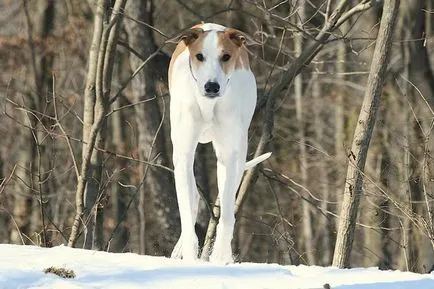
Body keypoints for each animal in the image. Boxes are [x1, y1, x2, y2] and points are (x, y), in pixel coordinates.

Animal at [168, 23, 270, 264]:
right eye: (199, 56)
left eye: (226, 56)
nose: (211, 86)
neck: (208, 105)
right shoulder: (184, 152)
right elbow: (186, 211)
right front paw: (190, 254)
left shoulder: (229, 155)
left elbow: (226, 215)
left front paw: (220, 256)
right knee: (192, 196)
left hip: (239, 149)